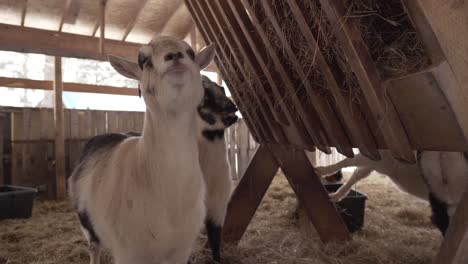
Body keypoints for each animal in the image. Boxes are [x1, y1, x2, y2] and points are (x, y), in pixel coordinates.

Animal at [67, 35, 216, 264]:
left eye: (190, 52)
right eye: (143, 60)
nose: (174, 56)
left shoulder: (180, 250)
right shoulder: (129, 252)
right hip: (88, 225)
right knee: (94, 248)